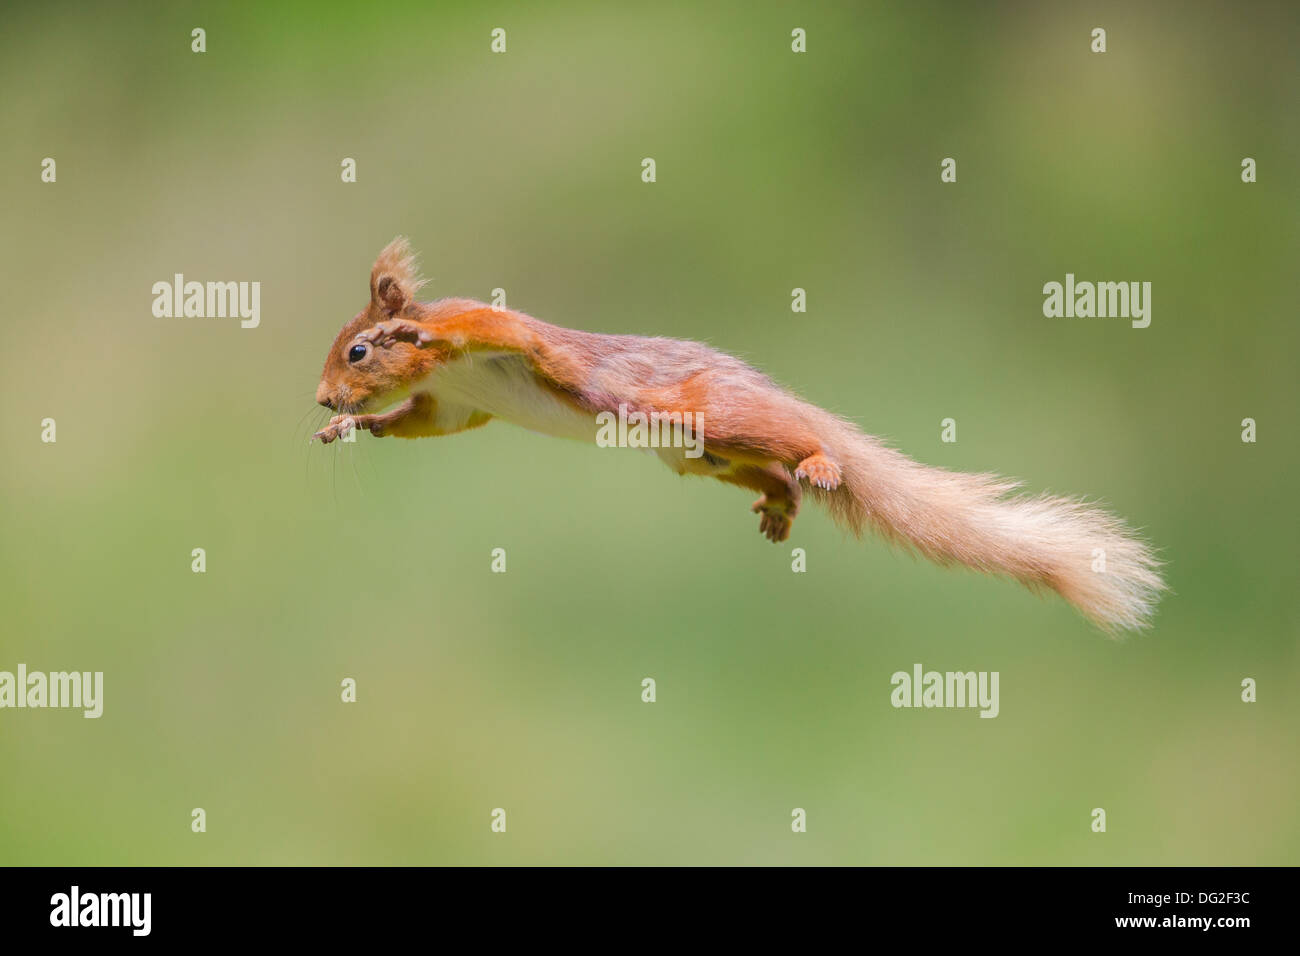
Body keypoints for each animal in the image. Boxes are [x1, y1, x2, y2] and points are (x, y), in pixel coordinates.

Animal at [314, 238, 1170, 634]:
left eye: (356, 351)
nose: (321, 395)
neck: (446, 368)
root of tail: (765, 390)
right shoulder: (451, 407)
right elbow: (426, 422)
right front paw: (355, 425)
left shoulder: (493, 335)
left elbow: (493, 326)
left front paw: (394, 360)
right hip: (700, 456)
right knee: (769, 472)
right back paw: (783, 503)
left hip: (711, 416)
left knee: (792, 440)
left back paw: (820, 458)